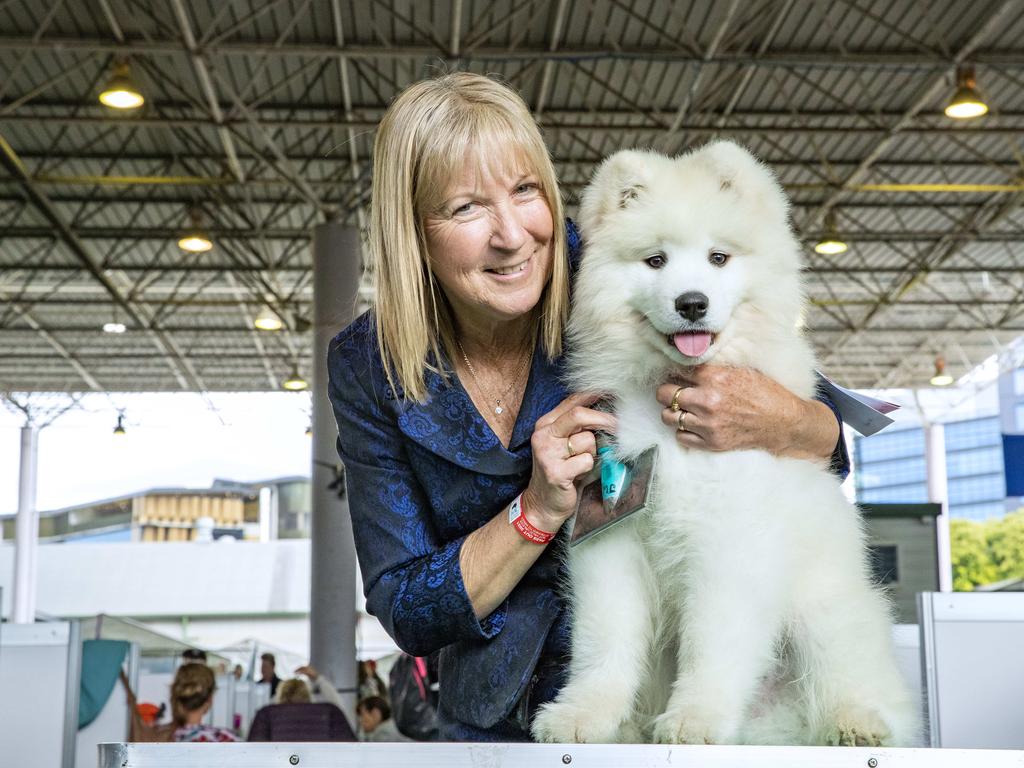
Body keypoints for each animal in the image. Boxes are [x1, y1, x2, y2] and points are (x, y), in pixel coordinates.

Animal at [532, 143, 917, 745]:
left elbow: (711, 640)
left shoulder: (729, 539)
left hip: (827, 611)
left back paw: (856, 723)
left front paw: (694, 719)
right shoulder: (609, 537)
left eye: (718, 258)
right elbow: (605, 641)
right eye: (656, 261)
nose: (691, 303)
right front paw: (581, 716)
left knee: (853, 675)